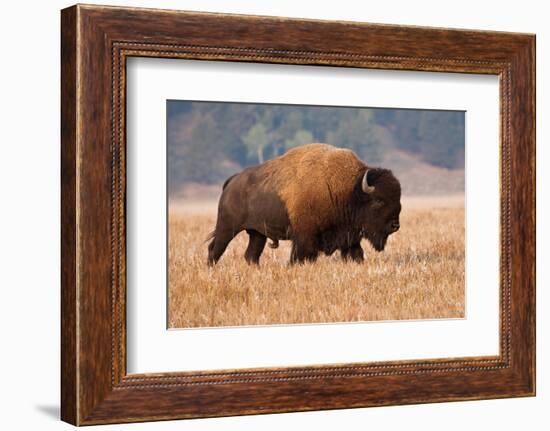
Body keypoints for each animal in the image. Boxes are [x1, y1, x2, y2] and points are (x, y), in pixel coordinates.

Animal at [207, 145, 402, 264]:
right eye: (378, 200)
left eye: (398, 199)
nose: (395, 225)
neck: (349, 191)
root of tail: (232, 181)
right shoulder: (304, 238)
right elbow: (299, 257)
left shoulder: (349, 238)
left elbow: (357, 254)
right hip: (228, 228)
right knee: (215, 249)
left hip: (257, 233)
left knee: (251, 255)